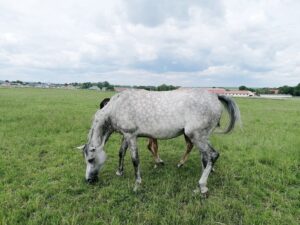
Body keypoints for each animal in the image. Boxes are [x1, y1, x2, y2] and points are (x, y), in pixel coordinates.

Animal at [81, 89, 240, 194]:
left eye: (90, 160)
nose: (88, 180)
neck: (117, 106)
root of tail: (215, 96)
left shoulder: (131, 136)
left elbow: (135, 160)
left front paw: (137, 185)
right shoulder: (126, 135)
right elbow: (121, 152)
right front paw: (119, 172)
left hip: (196, 135)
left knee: (212, 155)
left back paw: (202, 185)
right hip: (202, 136)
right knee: (205, 157)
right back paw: (203, 180)